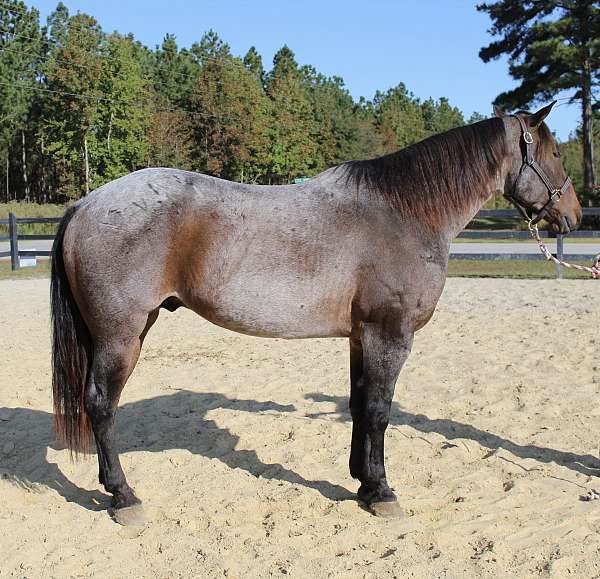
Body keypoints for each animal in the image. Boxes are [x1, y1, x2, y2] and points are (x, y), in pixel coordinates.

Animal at [51, 101, 580, 524]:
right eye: (555, 153)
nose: (573, 216)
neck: (403, 213)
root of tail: (87, 203)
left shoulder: (362, 336)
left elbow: (359, 406)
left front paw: (363, 482)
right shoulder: (390, 335)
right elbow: (380, 410)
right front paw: (383, 492)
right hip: (120, 336)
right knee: (100, 404)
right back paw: (123, 497)